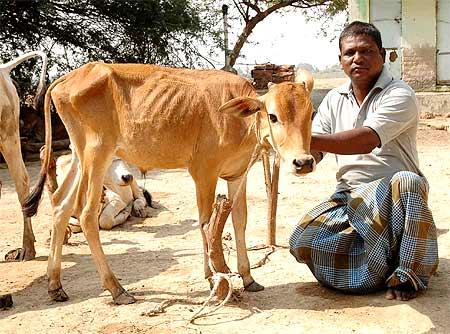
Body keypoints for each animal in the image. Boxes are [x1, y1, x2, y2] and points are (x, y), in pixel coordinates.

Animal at [23, 63, 312, 306]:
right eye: (272, 116)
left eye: (310, 114)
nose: (303, 162)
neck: (241, 122)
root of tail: (68, 77)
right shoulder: (203, 172)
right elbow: (205, 223)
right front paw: (213, 279)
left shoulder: (237, 174)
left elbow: (239, 220)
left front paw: (248, 277)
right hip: (97, 155)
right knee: (85, 214)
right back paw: (117, 289)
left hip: (79, 155)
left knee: (60, 204)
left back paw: (55, 285)